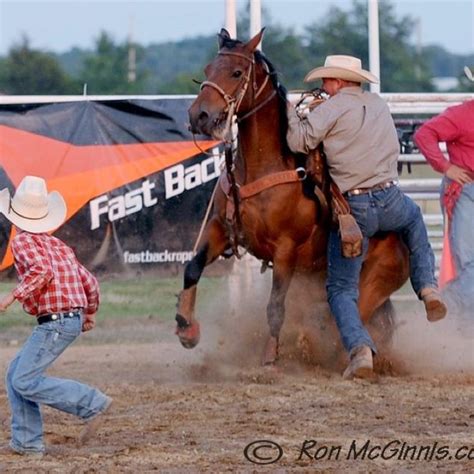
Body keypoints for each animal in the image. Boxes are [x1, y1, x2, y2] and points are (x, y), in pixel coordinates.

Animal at [180, 27, 410, 364]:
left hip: (371, 286)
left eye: (236, 72)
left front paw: (269, 359)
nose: (200, 115)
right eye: (209, 70)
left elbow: (275, 307)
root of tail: (399, 240)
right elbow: (192, 267)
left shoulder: (285, 250)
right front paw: (186, 328)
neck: (261, 169)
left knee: (342, 322)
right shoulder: (222, 229)